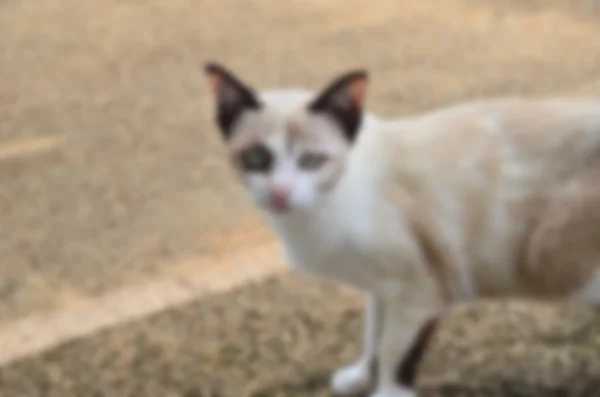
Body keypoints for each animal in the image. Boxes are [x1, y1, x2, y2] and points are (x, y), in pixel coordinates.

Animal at [204, 62, 600, 396]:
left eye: (311, 160)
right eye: (257, 158)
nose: (280, 192)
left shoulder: (420, 291)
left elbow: (395, 353)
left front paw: (386, 391)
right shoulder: (382, 288)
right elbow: (373, 336)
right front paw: (360, 376)